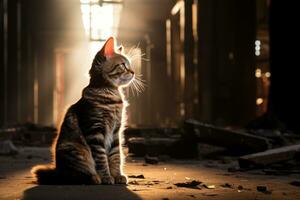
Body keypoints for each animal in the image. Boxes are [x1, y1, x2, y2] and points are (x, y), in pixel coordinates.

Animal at [30, 37, 135, 184]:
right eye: (123, 65)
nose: (133, 72)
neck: (111, 97)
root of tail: (57, 171)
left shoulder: (116, 131)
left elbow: (115, 156)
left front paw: (117, 175)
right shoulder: (95, 131)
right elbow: (101, 159)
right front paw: (106, 177)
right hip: (77, 151)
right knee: (75, 175)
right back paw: (95, 178)